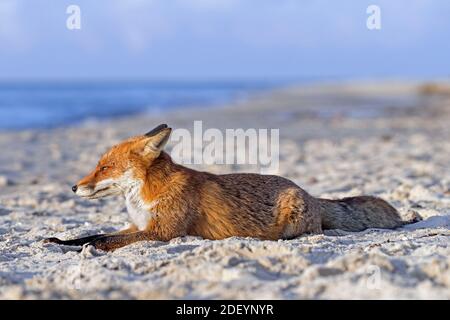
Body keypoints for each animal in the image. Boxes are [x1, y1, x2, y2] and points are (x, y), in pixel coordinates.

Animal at [44, 124, 414, 251]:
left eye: (104, 167)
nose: (74, 187)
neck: (144, 198)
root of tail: (310, 193)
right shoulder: (137, 225)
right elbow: (93, 234)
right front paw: (60, 241)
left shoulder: (161, 232)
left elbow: (103, 241)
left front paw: (82, 248)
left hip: (294, 219)